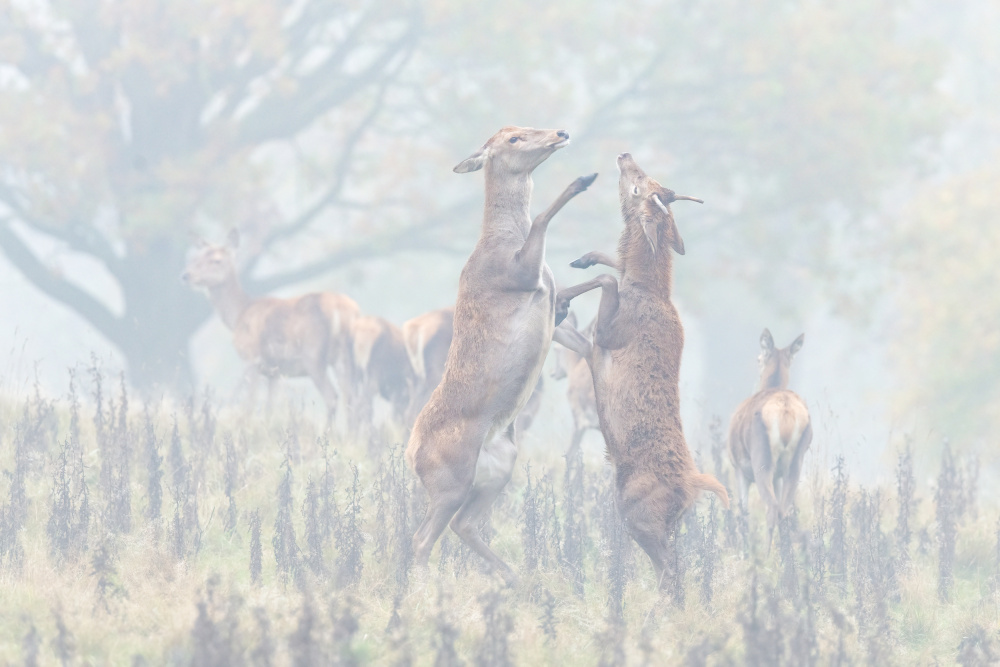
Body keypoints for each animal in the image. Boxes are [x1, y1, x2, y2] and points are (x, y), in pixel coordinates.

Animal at [181, 230, 360, 418]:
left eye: (216, 260)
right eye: (195, 258)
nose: (185, 275)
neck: (238, 315)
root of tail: (344, 310)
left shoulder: (251, 359)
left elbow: (249, 405)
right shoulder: (274, 372)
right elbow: (270, 409)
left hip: (313, 354)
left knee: (332, 397)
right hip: (345, 357)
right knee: (353, 400)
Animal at [404, 126, 596, 584]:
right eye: (513, 138)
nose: (561, 131)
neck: (502, 242)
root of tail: (409, 454)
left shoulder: (553, 304)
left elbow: (578, 303)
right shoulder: (516, 274)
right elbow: (542, 218)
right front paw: (583, 180)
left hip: (500, 467)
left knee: (464, 524)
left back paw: (512, 576)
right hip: (452, 476)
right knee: (422, 537)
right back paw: (425, 588)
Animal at [556, 153, 728, 588]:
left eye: (638, 185)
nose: (624, 156)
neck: (650, 291)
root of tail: (693, 485)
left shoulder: (607, 336)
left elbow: (608, 280)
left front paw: (563, 295)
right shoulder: (591, 349)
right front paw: (573, 273)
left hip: (638, 512)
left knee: (669, 571)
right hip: (662, 519)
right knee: (675, 567)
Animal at [728, 328, 812, 544]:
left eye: (759, 359)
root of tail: (786, 414)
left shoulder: (738, 467)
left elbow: (743, 514)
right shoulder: (778, 475)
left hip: (761, 458)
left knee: (771, 508)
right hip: (796, 461)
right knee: (784, 510)